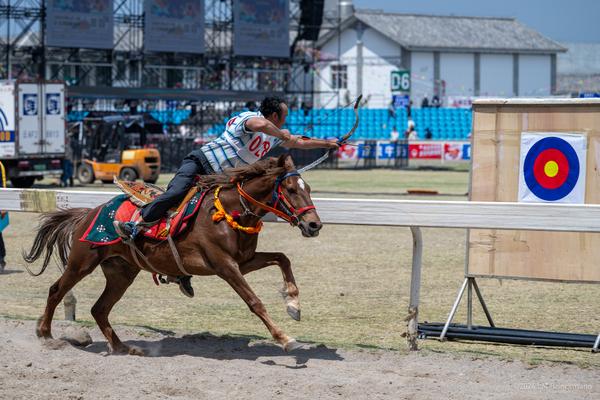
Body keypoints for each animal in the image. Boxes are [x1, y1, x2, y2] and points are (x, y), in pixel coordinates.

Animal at [23, 155, 324, 354]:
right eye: (291, 189)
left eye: (308, 189)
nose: (314, 225)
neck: (228, 210)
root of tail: (88, 213)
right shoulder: (225, 266)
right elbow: (255, 302)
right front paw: (284, 338)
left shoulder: (244, 261)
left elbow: (282, 257)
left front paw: (293, 304)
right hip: (82, 263)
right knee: (56, 290)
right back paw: (46, 335)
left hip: (121, 272)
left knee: (99, 308)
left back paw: (123, 347)